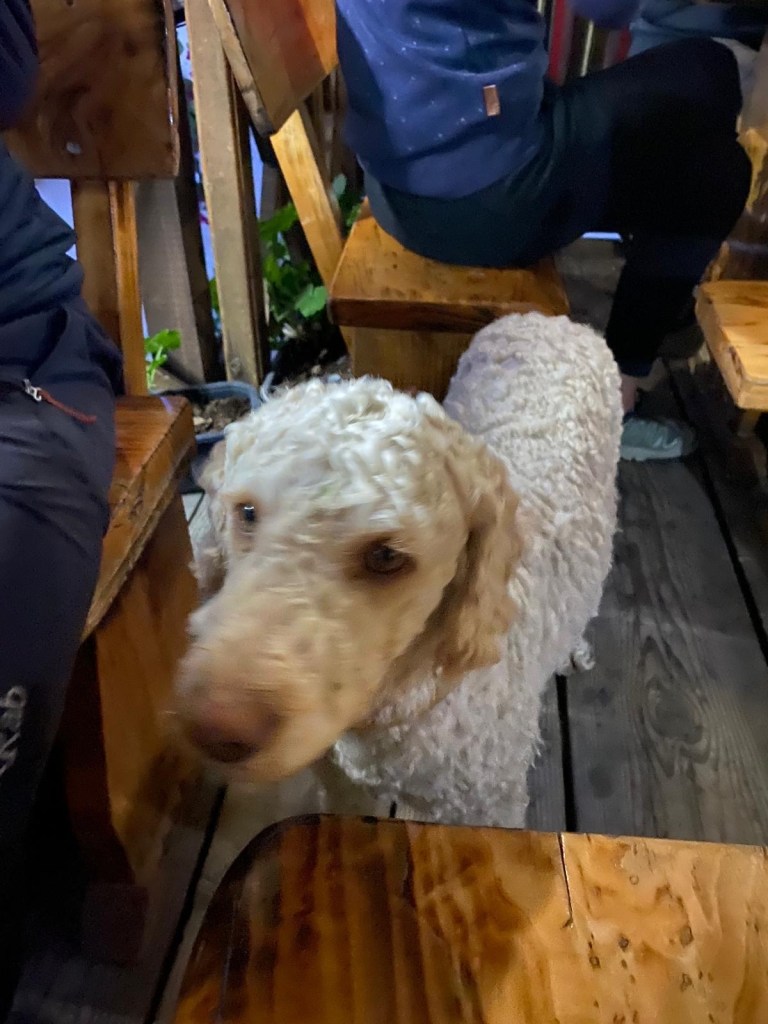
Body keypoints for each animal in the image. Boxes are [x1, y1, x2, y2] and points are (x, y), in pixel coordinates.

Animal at [176, 312, 621, 827]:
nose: (214, 726)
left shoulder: (488, 807)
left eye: (387, 556)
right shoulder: (343, 788)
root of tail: (548, 319)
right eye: (246, 513)